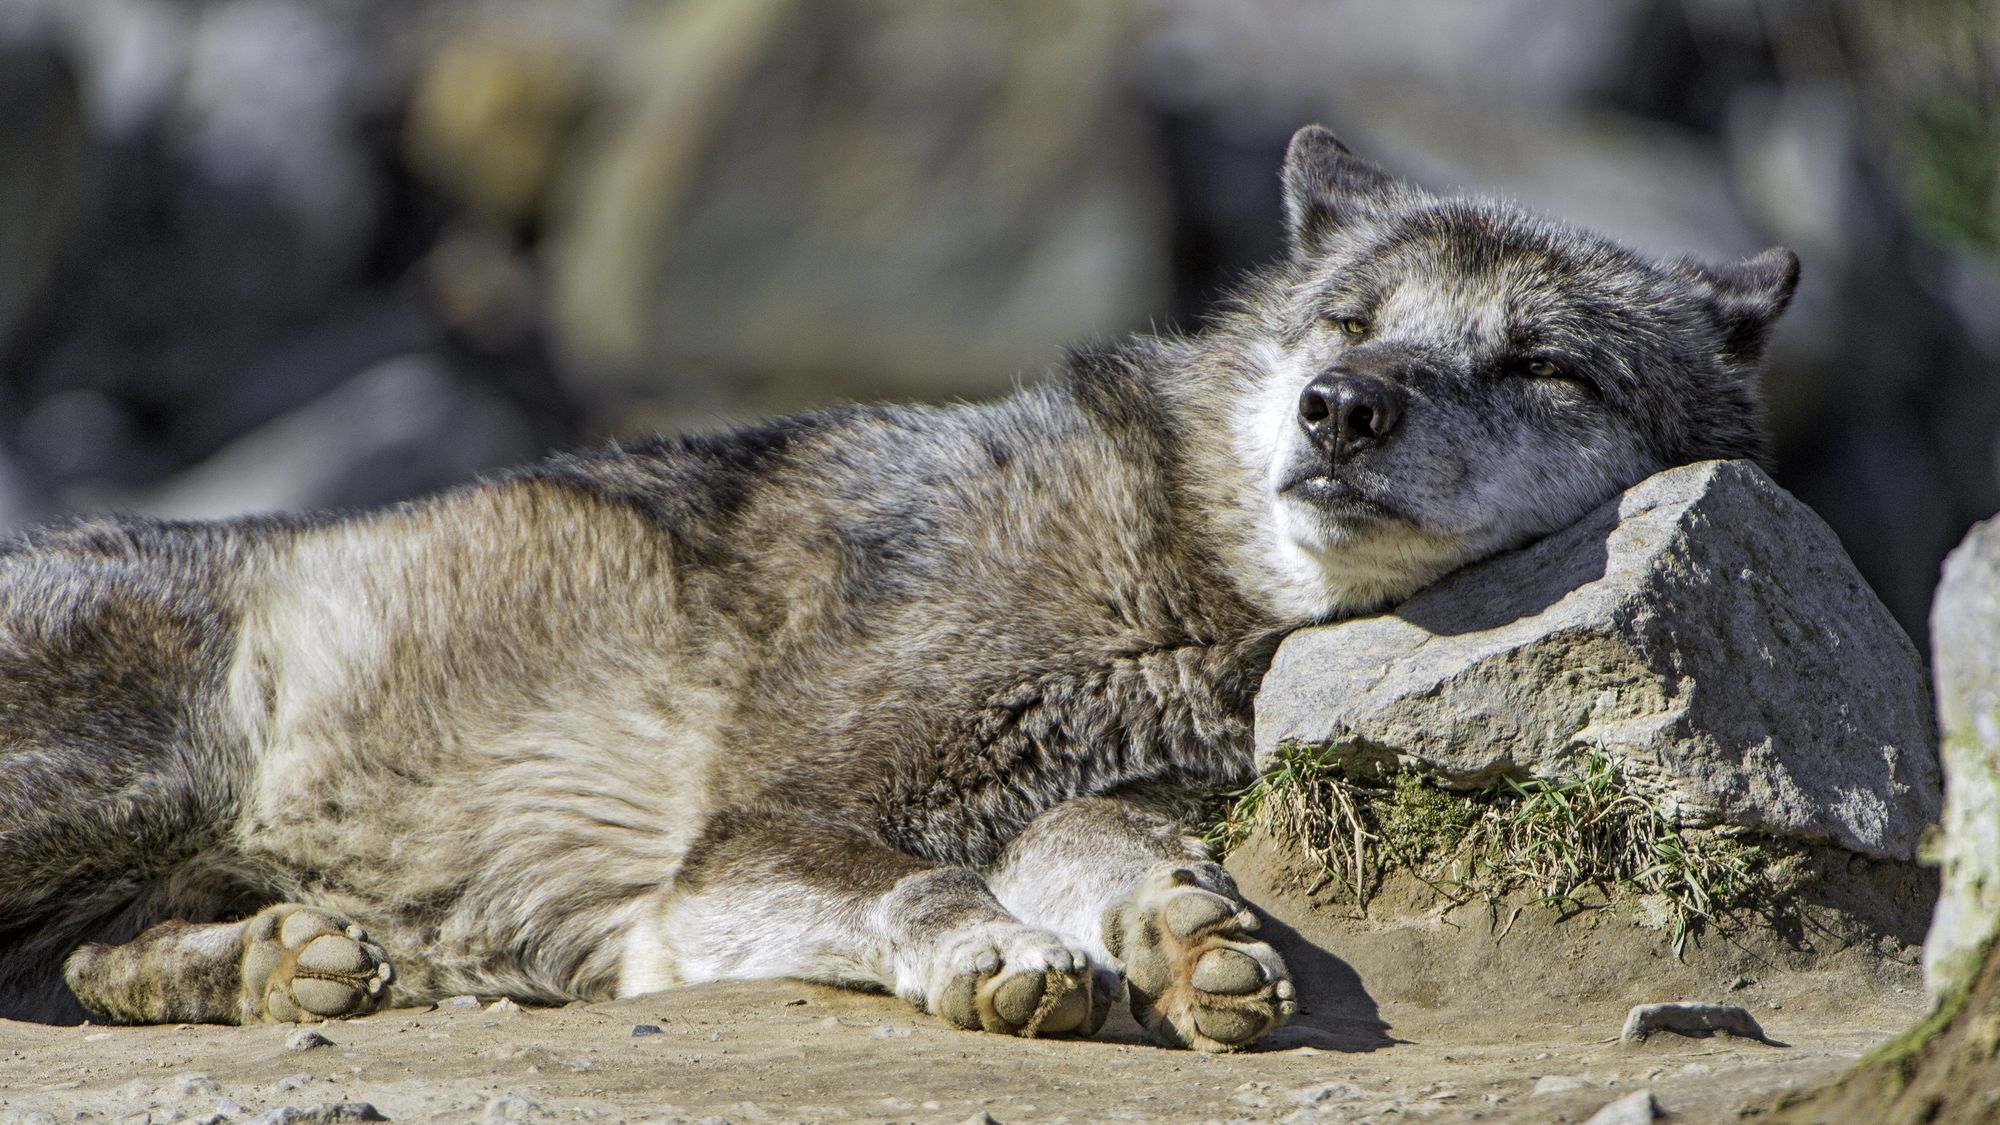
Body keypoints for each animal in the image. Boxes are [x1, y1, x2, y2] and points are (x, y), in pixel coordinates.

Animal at [0, 127, 1792, 1048]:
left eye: (1545, 364)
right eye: (1349, 322)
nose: (1340, 410)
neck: (1156, 567)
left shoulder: (1111, 782)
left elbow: (1099, 835)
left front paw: (1178, 929)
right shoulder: (738, 852)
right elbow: (917, 885)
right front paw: (1003, 953)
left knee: (64, 975)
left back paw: (263, 967)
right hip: (144, 770)